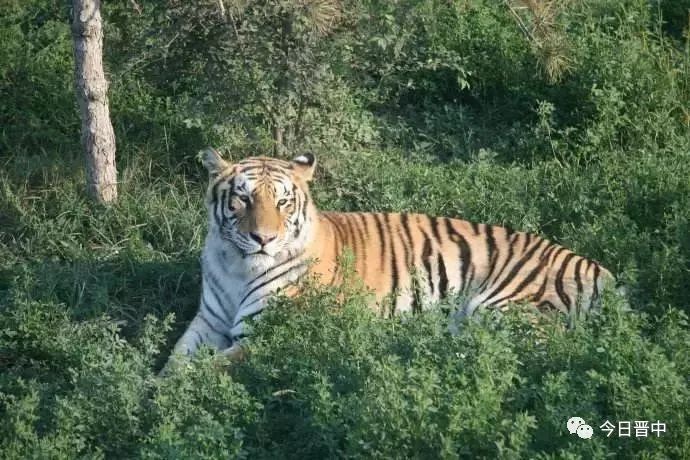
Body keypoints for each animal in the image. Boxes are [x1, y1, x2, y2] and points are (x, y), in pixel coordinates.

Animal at [165, 149, 612, 368]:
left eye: (283, 202)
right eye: (242, 198)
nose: (263, 238)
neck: (236, 266)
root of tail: (602, 271)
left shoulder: (269, 335)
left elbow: (204, 370)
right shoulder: (207, 322)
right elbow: (175, 361)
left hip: (494, 308)